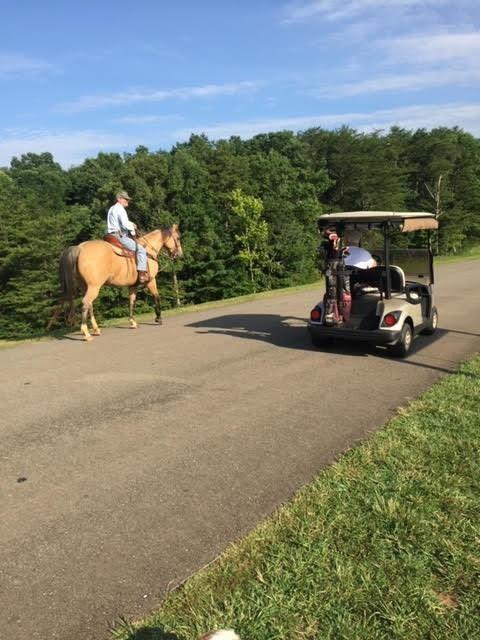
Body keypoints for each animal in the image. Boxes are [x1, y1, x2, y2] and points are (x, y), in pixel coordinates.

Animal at [56, 228, 184, 342]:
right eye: (178, 238)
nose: (179, 254)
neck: (148, 251)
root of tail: (80, 248)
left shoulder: (132, 286)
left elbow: (131, 301)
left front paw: (133, 322)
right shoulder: (151, 281)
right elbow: (156, 297)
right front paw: (158, 318)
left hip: (85, 287)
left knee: (89, 305)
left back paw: (96, 330)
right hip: (93, 287)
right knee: (85, 303)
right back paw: (86, 333)